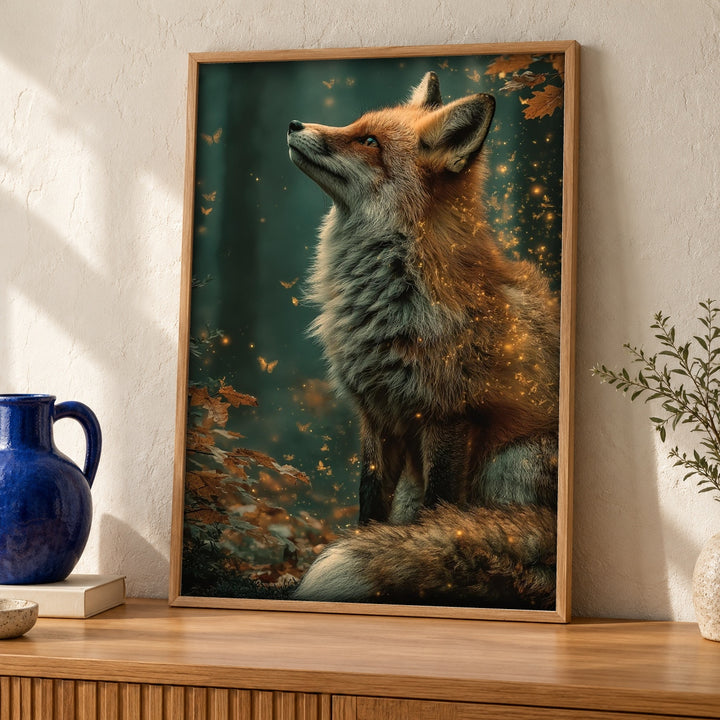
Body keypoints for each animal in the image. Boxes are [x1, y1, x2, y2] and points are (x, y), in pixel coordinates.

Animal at [286, 71, 560, 609]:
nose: (293, 123)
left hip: (515, 460)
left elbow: (441, 515)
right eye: (356, 126)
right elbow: (370, 509)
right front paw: (372, 547)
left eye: (370, 142)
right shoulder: (376, 414)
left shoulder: (449, 415)